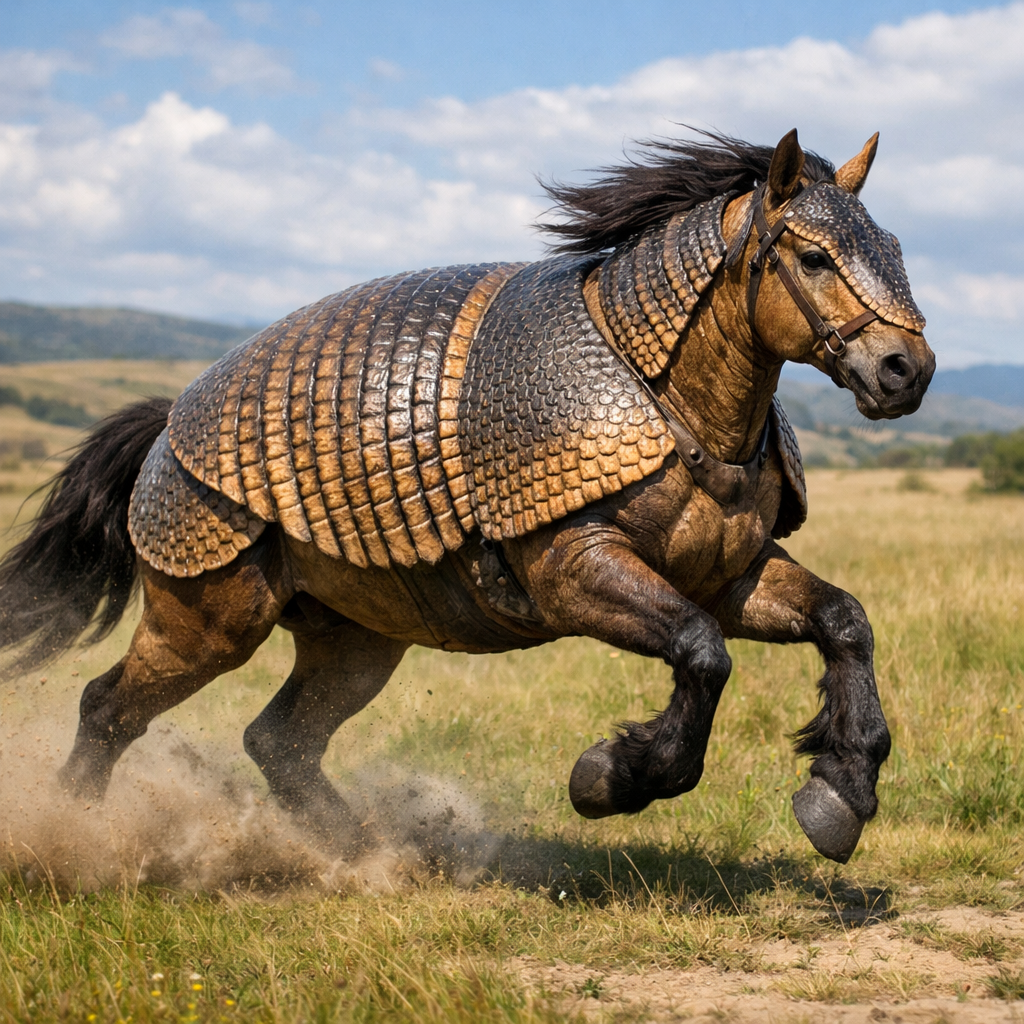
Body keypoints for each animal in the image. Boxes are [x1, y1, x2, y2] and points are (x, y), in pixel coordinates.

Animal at [0, 129, 934, 864]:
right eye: (812, 258)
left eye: (897, 249)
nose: (909, 373)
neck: (685, 408)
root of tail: (165, 426)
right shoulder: (564, 559)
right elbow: (702, 649)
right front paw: (611, 778)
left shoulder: (728, 570)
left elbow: (842, 619)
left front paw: (840, 795)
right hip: (207, 596)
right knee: (111, 705)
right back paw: (81, 837)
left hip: (355, 631)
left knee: (282, 738)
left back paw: (360, 852)